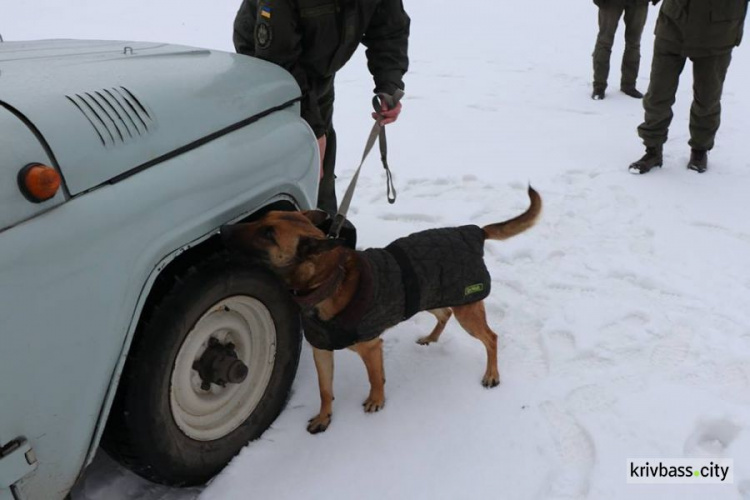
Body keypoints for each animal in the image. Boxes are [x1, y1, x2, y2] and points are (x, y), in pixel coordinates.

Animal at [220, 186, 544, 432]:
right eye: (264, 218)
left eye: (269, 234)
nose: (224, 229)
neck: (329, 281)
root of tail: (475, 231)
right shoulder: (321, 351)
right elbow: (325, 390)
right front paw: (325, 418)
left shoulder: (371, 347)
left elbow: (375, 378)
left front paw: (377, 401)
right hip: (428, 297)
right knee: (445, 314)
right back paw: (431, 338)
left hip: (467, 310)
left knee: (491, 338)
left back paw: (491, 374)